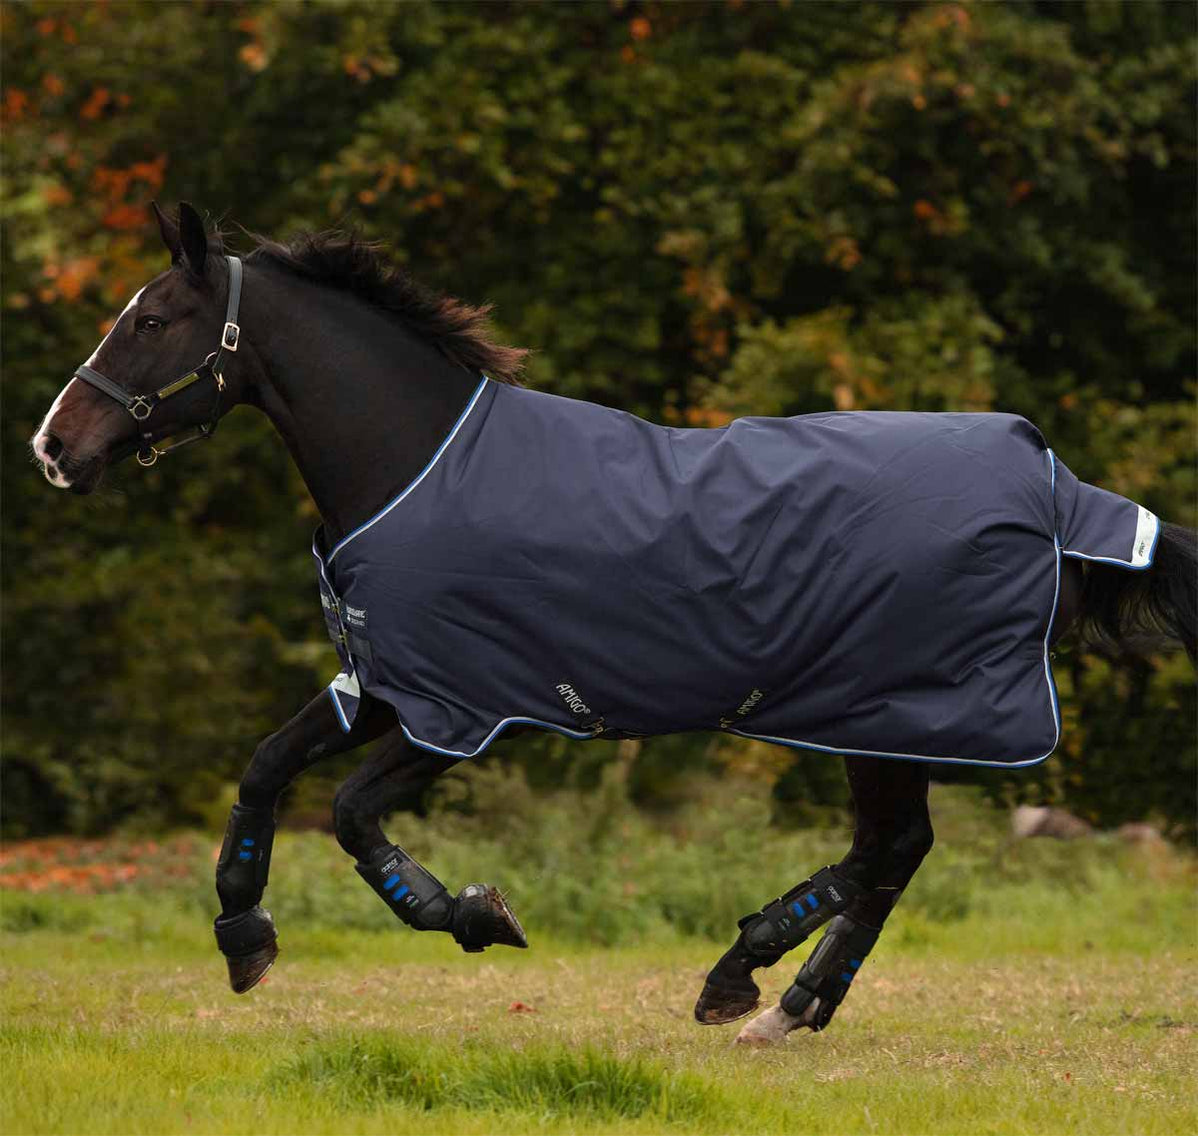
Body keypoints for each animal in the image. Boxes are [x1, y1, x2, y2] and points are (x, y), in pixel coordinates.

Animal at [32, 203, 1196, 1046]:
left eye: (148, 321)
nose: (53, 447)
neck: (413, 467)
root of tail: (1050, 484)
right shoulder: (385, 685)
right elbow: (267, 768)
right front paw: (243, 937)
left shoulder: (465, 711)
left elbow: (355, 817)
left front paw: (477, 915)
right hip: (886, 721)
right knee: (892, 854)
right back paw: (789, 1006)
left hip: (884, 713)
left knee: (888, 849)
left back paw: (743, 975)